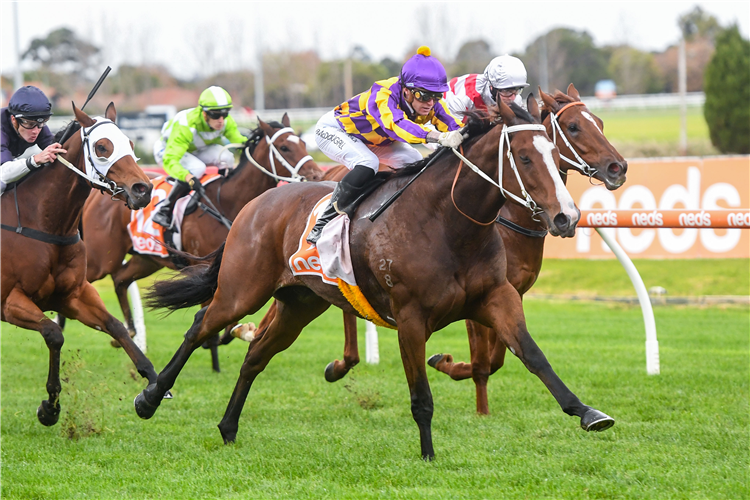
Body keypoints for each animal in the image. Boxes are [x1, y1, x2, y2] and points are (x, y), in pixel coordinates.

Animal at [0, 103, 159, 428]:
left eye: (131, 143)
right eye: (102, 147)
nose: (143, 189)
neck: (45, 222)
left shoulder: (72, 295)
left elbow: (117, 327)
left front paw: (150, 393)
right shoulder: (10, 301)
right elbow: (54, 334)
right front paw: (49, 408)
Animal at [73, 115, 324, 370]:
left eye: (303, 143)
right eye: (284, 147)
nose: (316, 175)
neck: (226, 201)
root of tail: (104, 193)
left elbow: (223, 325)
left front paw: (238, 334)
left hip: (147, 260)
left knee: (121, 279)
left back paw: (129, 331)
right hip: (102, 258)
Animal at [138, 95, 612, 458]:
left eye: (555, 152)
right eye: (526, 157)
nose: (567, 217)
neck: (448, 224)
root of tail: (257, 203)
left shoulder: (497, 297)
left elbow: (532, 356)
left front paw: (588, 412)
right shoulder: (411, 318)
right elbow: (422, 396)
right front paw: (428, 455)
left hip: (299, 304)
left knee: (256, 355)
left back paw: (228, 427)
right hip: (242, 290)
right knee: (200, 326)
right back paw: (149, 397)